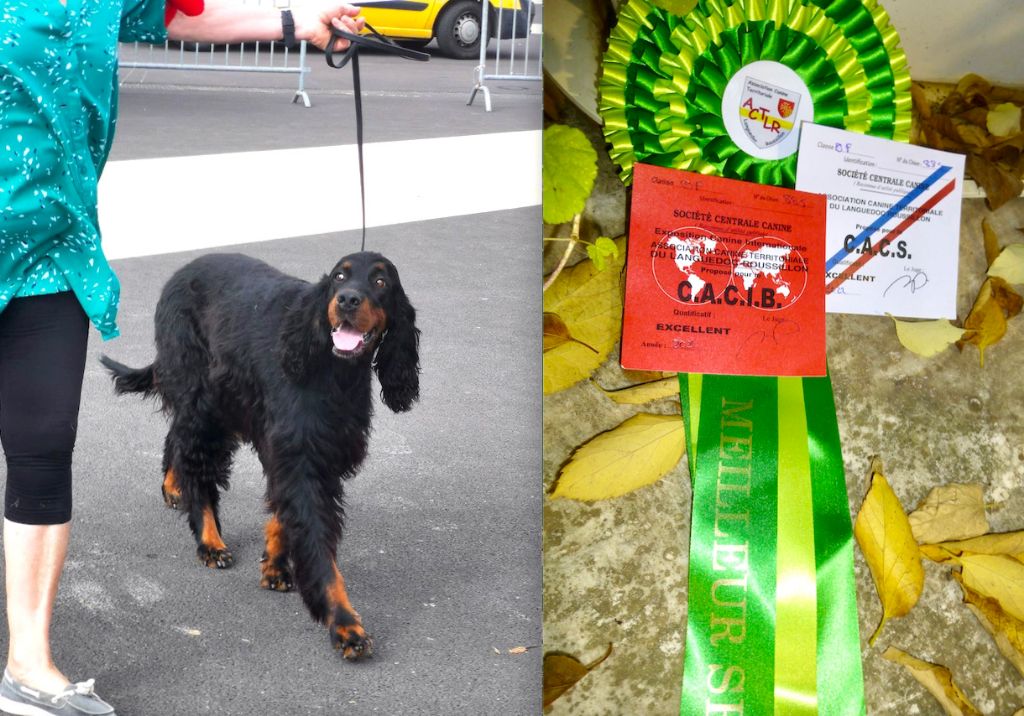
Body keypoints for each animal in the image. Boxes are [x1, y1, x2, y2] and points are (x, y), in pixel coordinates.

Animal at [96, 251, 415, 659]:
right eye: (340, 277)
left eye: (380, 282)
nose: (347, 300)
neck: (332, 369)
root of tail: (184, 270)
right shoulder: (299, 454)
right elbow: (318, 548)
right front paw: (345, 624)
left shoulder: (307, 453)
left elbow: (284, 512)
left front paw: (275, 566)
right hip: (203, 395)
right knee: (194, 456)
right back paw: (209, 540)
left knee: (177, 438)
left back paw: (173, 487)